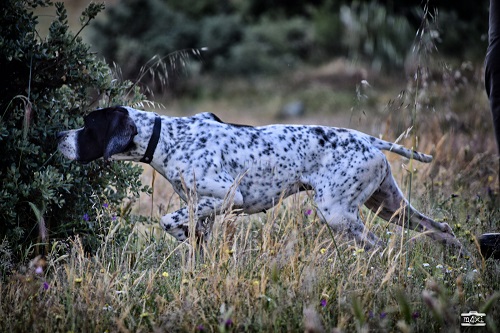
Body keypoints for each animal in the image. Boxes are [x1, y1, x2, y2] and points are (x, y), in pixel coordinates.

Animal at [56, 105, 466, 253]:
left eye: (88, 126)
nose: (58, 137)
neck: (169, 138)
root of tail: (369, 139)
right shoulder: (202, 206)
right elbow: (195, 231)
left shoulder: (226, 197)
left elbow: (168, 220)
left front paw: (184, 234)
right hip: (388, 204)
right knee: (440, 227)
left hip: (337, 212)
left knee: (379, 246)